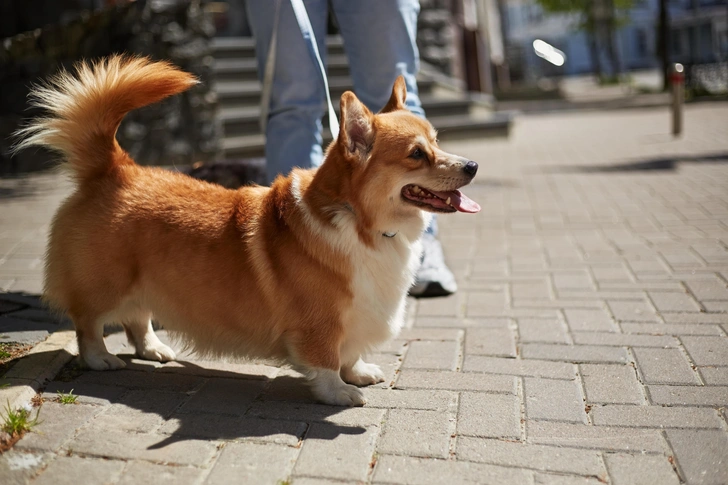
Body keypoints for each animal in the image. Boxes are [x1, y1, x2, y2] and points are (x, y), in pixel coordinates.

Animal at [14, 56, 480, 404]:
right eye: (416, 154)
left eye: (437, 141)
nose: (473, 166)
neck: (358, 220)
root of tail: (115, 167)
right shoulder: (321, 322)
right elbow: (327, 360)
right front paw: (339, 392)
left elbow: (349, 353)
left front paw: (359, 372)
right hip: (107, 284)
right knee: (88, 324)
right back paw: (101, 359)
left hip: (144, 281)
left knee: (137, 318)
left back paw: (153, 349)